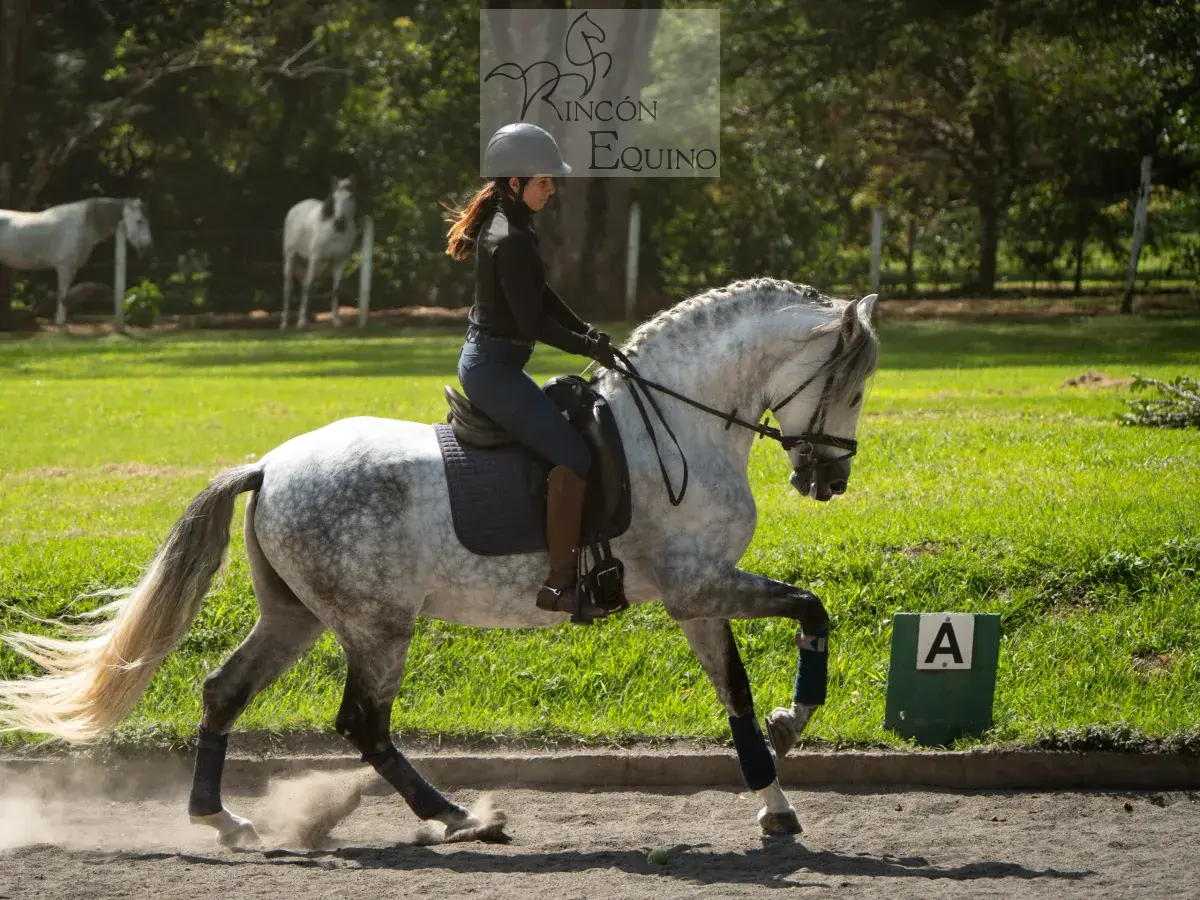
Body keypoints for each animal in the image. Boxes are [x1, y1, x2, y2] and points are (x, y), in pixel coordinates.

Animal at [0, 198, 153, 327]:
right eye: (139, 221)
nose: (148, 247)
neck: (83, 225)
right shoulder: (64, 266)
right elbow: (63, 294)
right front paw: (60, 322)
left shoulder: (73, 267)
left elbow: (67, 295)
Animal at [0, 279, 879, 849]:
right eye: (857, 385)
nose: (830, 479)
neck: (679, 423)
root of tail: (270, 466)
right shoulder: (699, 585)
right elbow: (811, 611)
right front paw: (793, 722)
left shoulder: (697, 598)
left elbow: (736, 694)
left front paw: (775, 799)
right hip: (377, 626)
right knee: (363, 724)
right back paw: (457, 817)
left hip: (298, 618)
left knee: (224, 691)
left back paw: (223, 820)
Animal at [281, 177, 357, 330]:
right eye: (334, 198)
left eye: (350, 197)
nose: (339, 222)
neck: (334, 232)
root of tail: (296, 207)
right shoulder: (315, 258)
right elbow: (309, 287)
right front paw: (301, 323)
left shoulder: (340, 260)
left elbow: (335, 290)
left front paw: (337, 321)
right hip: (292, 257)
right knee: (289, 287)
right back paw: (285, 323)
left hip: (315, 264)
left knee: (305, 285)